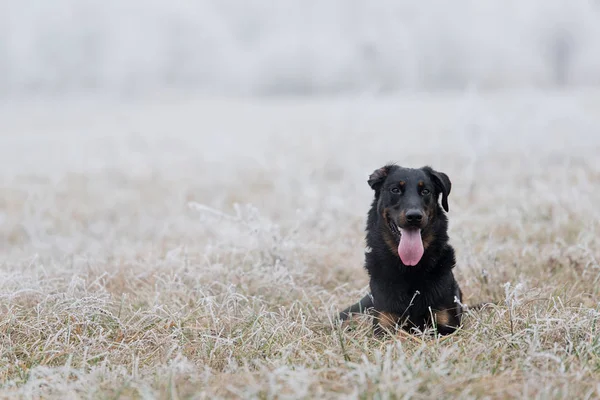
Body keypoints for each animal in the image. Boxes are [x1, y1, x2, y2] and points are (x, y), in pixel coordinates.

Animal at [340, 164, 462, 336]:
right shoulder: (384, 325)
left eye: (426, 191)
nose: (414, 216)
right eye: (395, 190)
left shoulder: (447, 325)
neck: (409, 269)